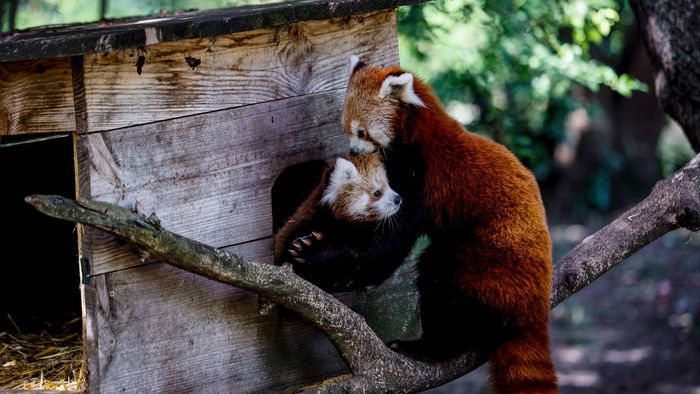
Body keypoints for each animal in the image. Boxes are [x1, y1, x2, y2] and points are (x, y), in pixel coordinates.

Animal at [342, 57, 560, 394]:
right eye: (348, 130)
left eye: (362, 133)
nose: (352, 151)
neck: (419, 131)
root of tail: (532, 310)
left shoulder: (420, 175)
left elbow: (393, 240)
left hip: (487, 266)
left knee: (439, 276)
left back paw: (429, 346)